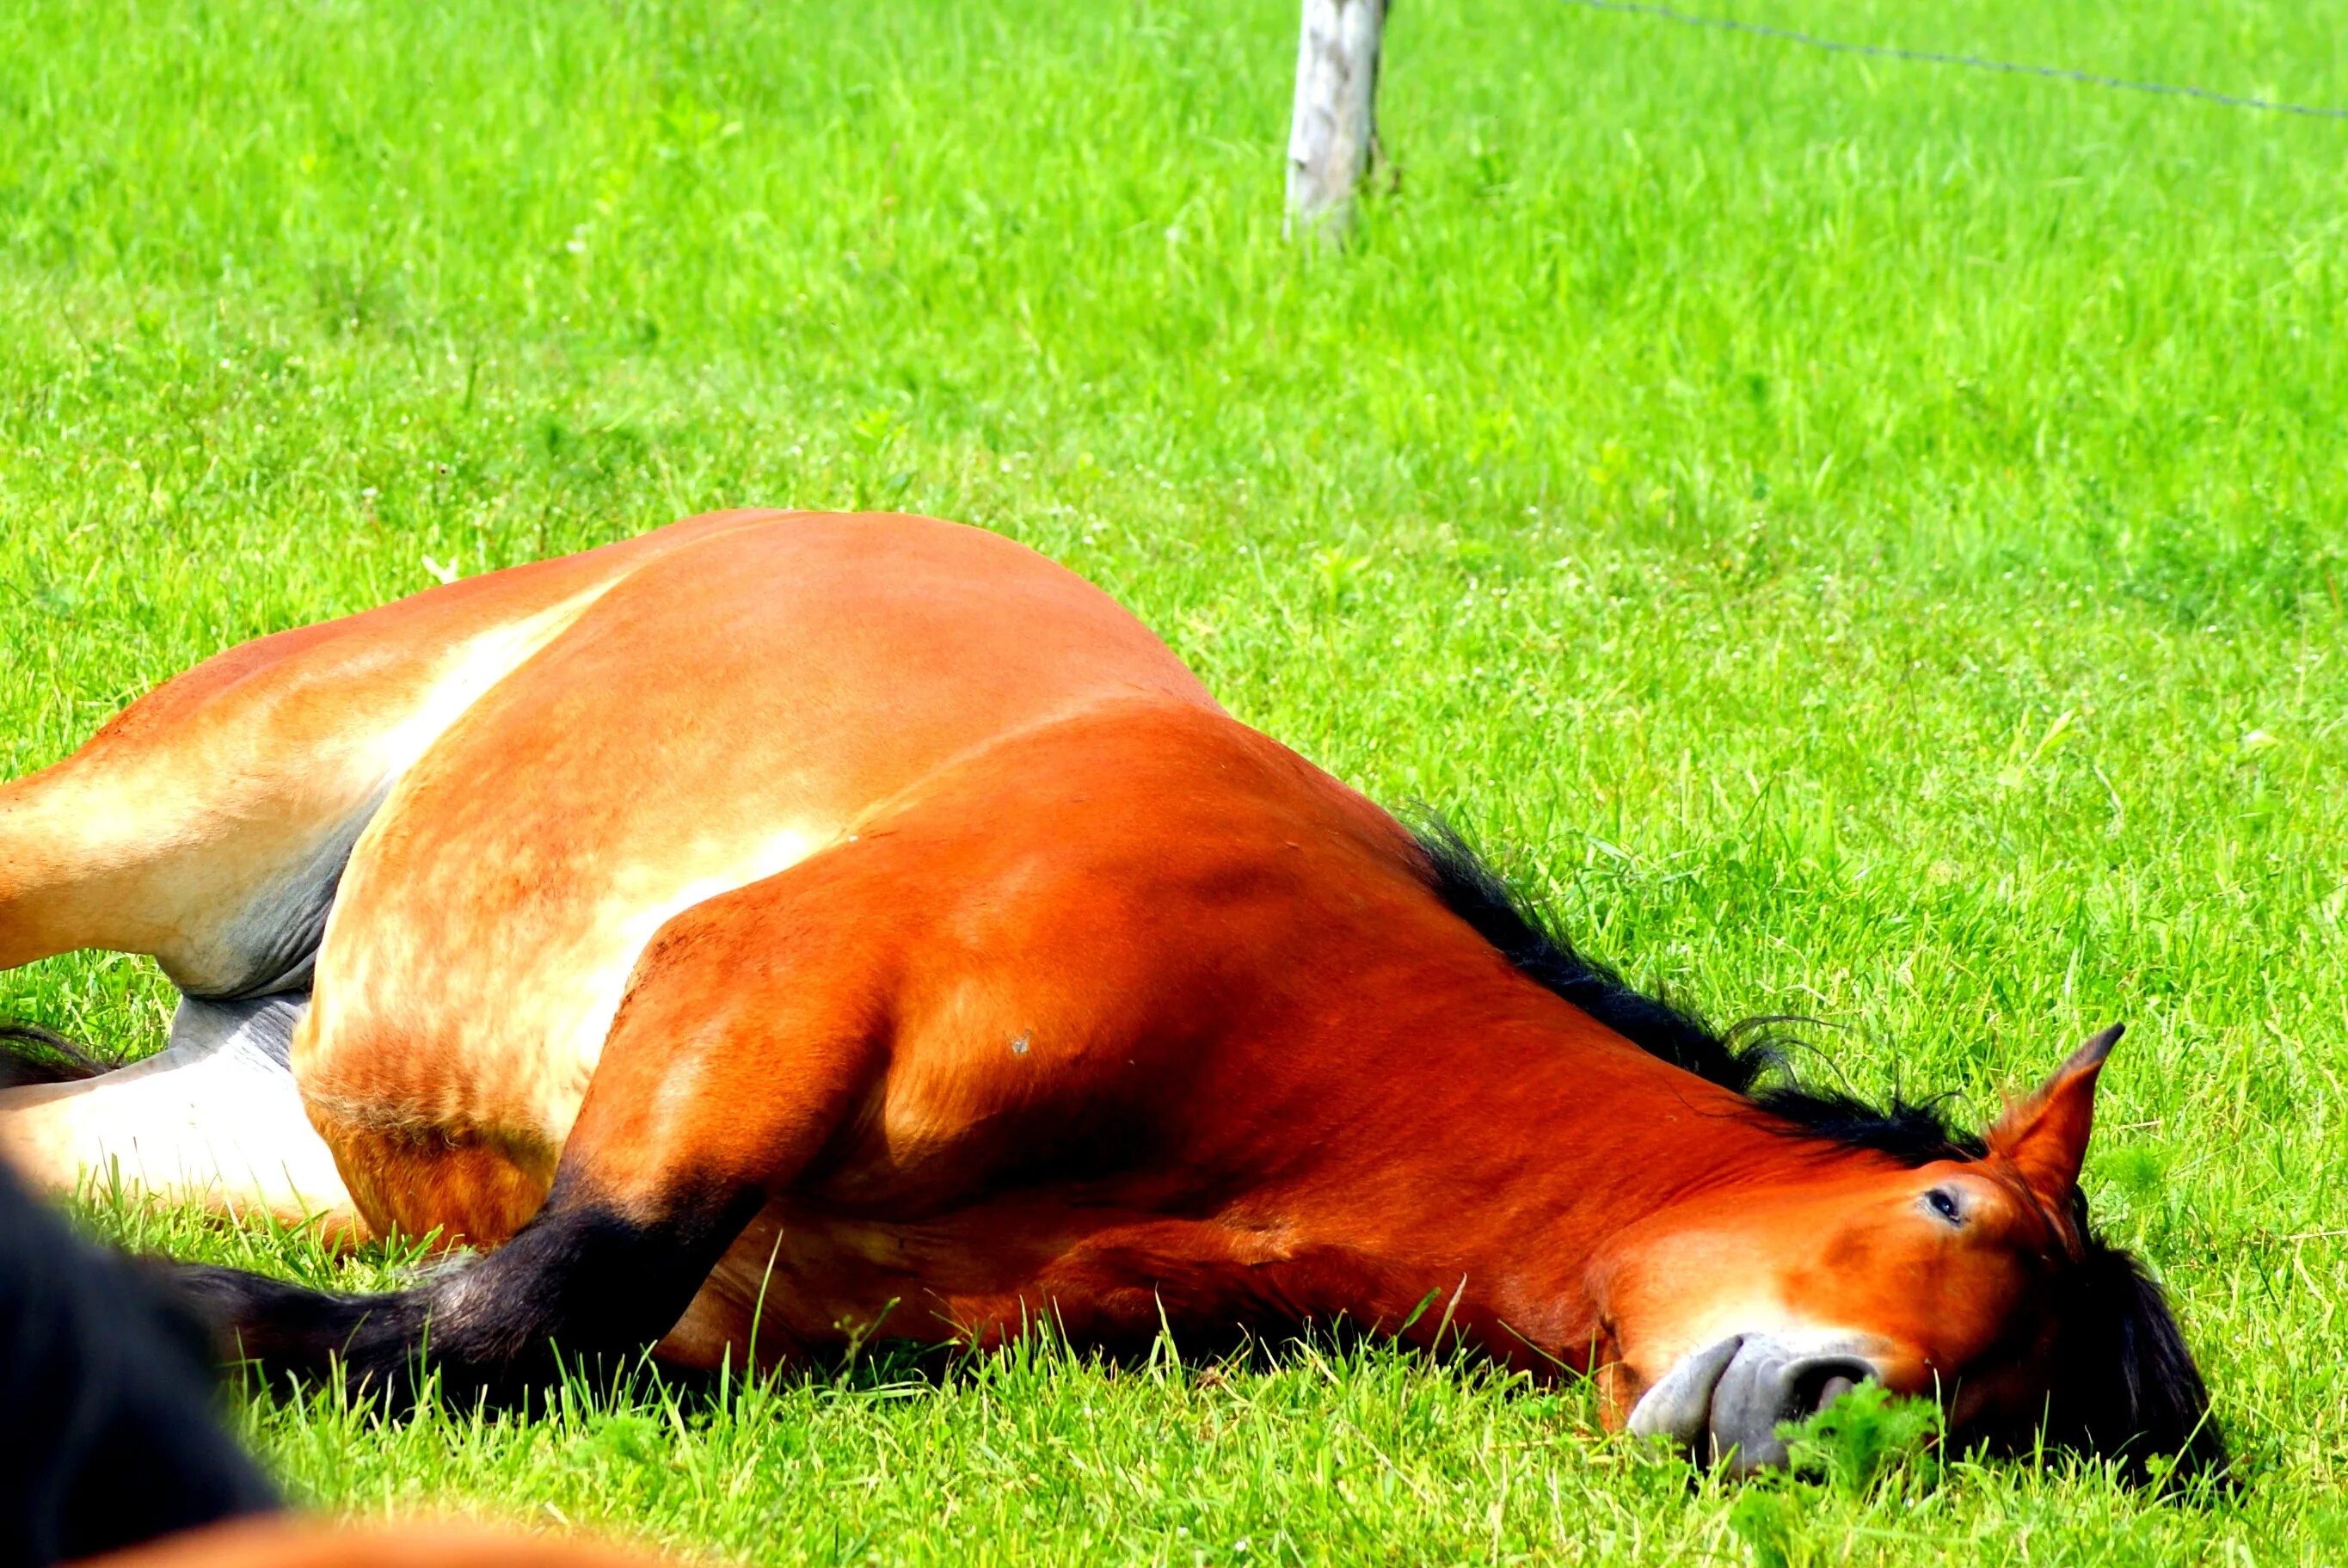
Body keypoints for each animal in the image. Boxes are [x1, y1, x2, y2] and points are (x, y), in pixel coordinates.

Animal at [0, 511, 2226, 1483]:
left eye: (1998, 1420)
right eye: (1950, 1204)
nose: (1818, 1412)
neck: (1307, 1032)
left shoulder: (764, 1293)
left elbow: (508, 1327)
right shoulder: (760, 994)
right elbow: (522, 1313)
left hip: (232, 1121)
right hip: (143, 815)